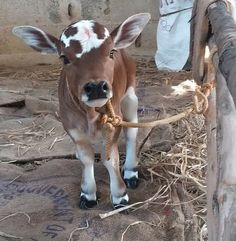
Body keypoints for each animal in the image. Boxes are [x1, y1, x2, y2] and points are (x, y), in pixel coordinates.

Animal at [12, 13, 150, 209]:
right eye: (64, 58)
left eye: (111, 52)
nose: (97, 87)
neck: (91, 116)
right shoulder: (71, 126)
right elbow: (86, 158)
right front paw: (88, 193)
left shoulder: (113, 123)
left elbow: (110, 159)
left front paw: (119, 195)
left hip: (130, 94)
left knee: (132, 132)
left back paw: (131, 171)